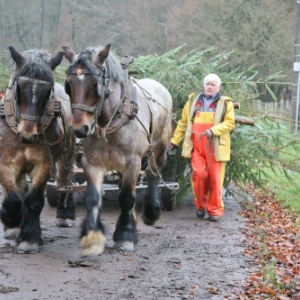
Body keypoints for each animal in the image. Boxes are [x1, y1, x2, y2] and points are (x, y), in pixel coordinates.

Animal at [0, 47, 76, 253]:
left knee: (65, 180)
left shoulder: (44, 164)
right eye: (18, 87)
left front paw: (29, 238)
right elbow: (13, 198)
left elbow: (33, 199)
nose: (27, 135)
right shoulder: (5, 163)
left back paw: (65, 213)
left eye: (48, 90)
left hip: (67, 156)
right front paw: (12, 222)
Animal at [62, 44, 172, 255]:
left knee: (153, 173)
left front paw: (125, 236)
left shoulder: (133, 163)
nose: (80, 128)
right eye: (69, 85)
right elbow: (93, 198)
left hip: (159, 149)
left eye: (95, 84)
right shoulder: (92, 163)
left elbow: (127, 198)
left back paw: (150, 212)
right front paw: (92, 237)